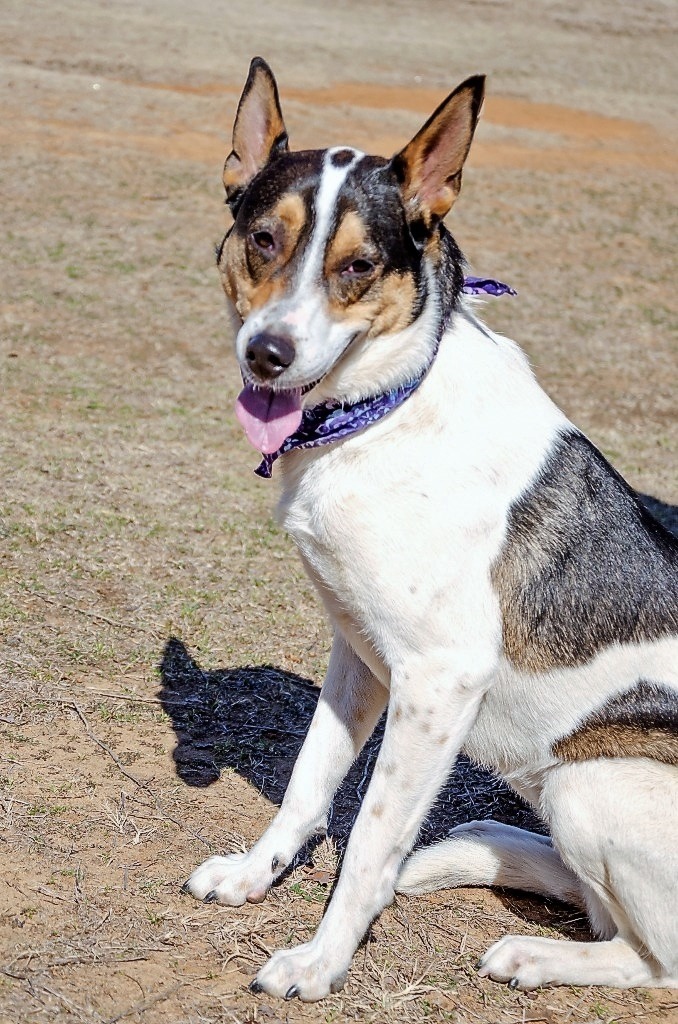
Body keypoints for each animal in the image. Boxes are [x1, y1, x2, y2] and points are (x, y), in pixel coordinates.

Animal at [182, 58, 678, 999]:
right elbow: (307, 785)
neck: (385, 410)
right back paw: (477, 849)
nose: (266, 355)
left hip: (602, 779)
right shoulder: (359, 652)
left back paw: (530, 951)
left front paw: (320, 962)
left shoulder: (440, 681)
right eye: (262, 239)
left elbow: (369, 843)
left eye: (359, 265)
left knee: (653, 954)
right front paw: (256, 873)